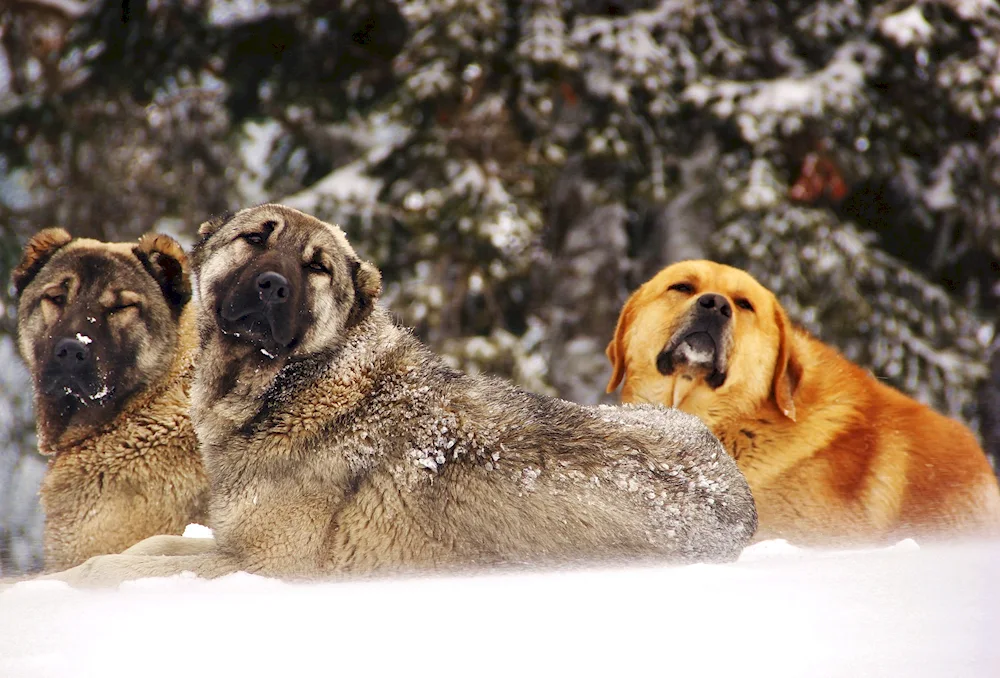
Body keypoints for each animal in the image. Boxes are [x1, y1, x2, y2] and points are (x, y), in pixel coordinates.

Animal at [43, 205, 752, 588]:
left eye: (317, 267)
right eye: (255, 238)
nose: (273, 286)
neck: (290, 387)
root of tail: (737, 491)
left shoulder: (267, 565)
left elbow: (126, 569)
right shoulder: (228, 544)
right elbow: (144, 551)